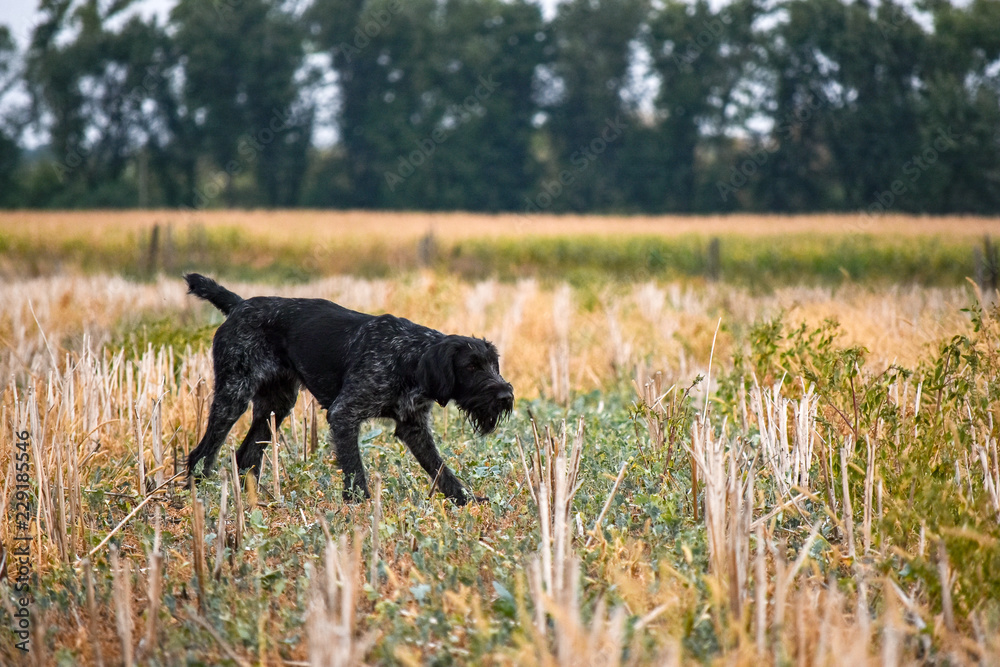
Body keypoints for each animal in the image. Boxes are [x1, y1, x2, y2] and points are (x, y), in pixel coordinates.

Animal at [186, 274, 516, 504]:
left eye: (492, 364)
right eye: (471, 367)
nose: (506, 396)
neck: (410, 357)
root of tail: (239, 305)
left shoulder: (414, 428)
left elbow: (441, 469)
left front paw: (466, 501)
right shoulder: (344, 414)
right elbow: (355, 468)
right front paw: (361, 504)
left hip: (275, 406)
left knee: (247, 456)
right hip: (233, 396)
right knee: (202, 453)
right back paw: (196, 494)